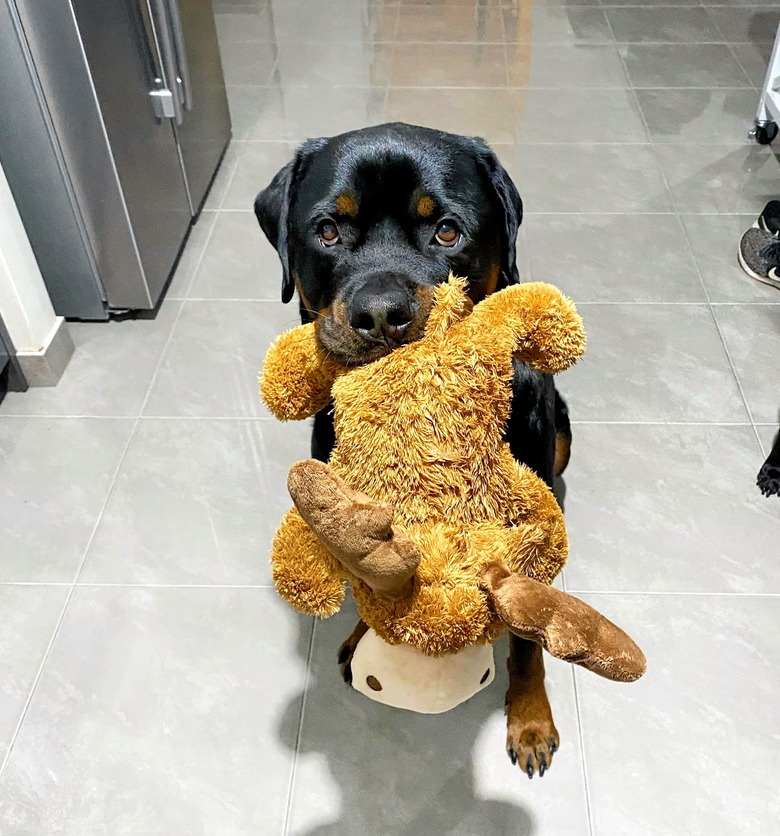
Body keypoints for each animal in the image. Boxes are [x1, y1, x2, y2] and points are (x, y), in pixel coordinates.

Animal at [256, 122, 572, 776]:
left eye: (446, 229)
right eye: (328, 230)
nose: (381, 313)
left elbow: (527, 641)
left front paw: (530, 719)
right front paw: (364, 637)